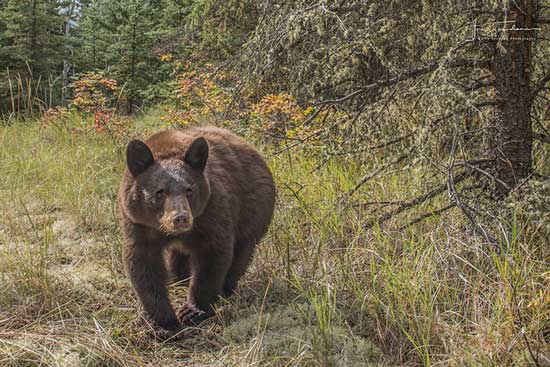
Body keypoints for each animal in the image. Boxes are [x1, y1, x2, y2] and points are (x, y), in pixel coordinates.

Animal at [119, 127, 278, 340]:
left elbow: (212, 254)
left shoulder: (211, 211)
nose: (180, 217)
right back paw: (180, 279)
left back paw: (225, 288)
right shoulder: (138, 224)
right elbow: (143, 264)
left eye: (189, 189)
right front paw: (164, 323)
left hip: (253, 211)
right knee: (178, 258)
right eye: (160, 192)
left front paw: (192, 311)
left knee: (241, 252)